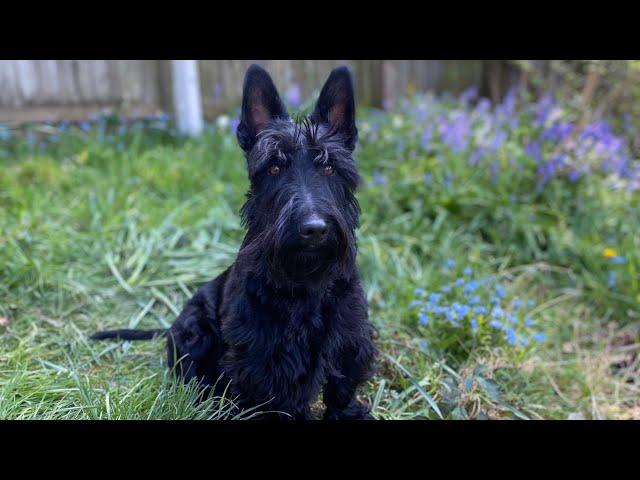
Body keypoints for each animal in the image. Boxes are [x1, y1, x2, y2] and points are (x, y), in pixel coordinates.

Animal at [92, 64, 378, 420]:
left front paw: (348, 413)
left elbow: (342, 388)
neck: (304, 282)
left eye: (329, 167)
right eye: (274, 167)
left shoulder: (349, 341)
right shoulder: (258, 359)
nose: (313, 229)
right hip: (194, 330)